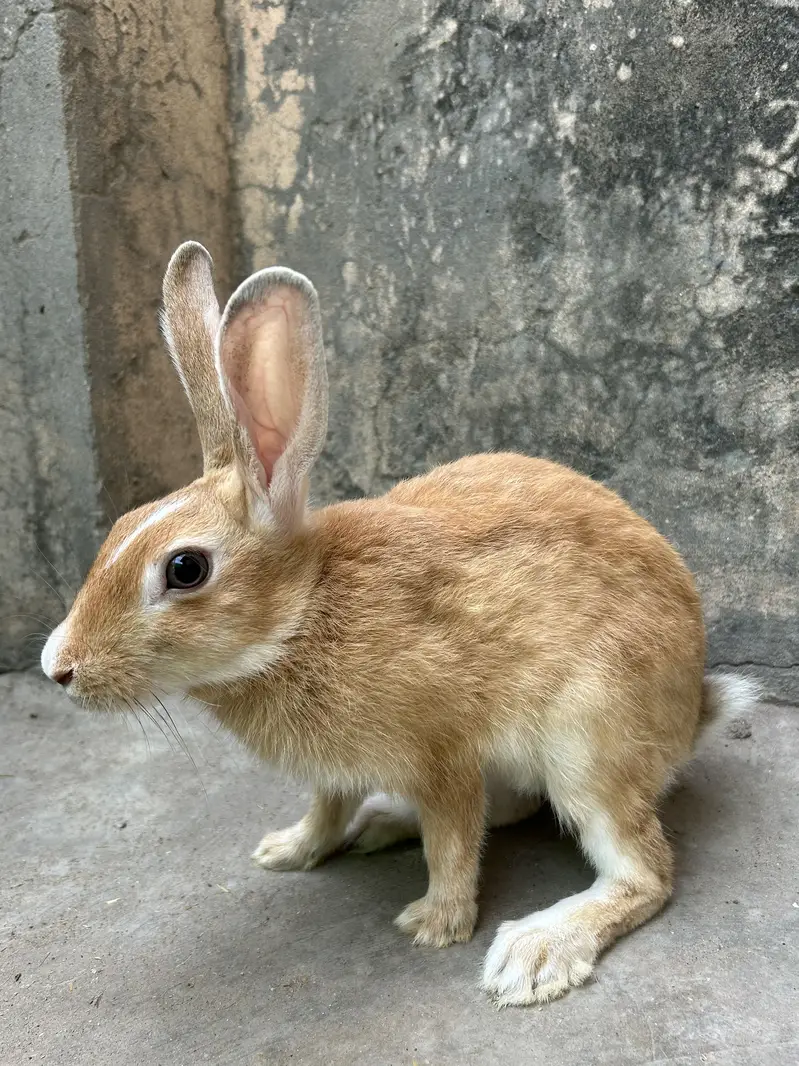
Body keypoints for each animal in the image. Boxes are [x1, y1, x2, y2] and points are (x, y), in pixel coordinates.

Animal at [40, 241, 757, 1007]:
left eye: (184, 569)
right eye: (120, 525)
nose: (60, 668)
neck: (300, 615)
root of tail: (690, 714)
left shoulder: (443, 755)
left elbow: (453, 842)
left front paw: (437, 924)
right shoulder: (336, 768)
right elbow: (329, 807)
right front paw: (288, 850)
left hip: (589, 740)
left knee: (642, 871)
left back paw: (534, 952)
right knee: (514, 811)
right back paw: (384, 823)